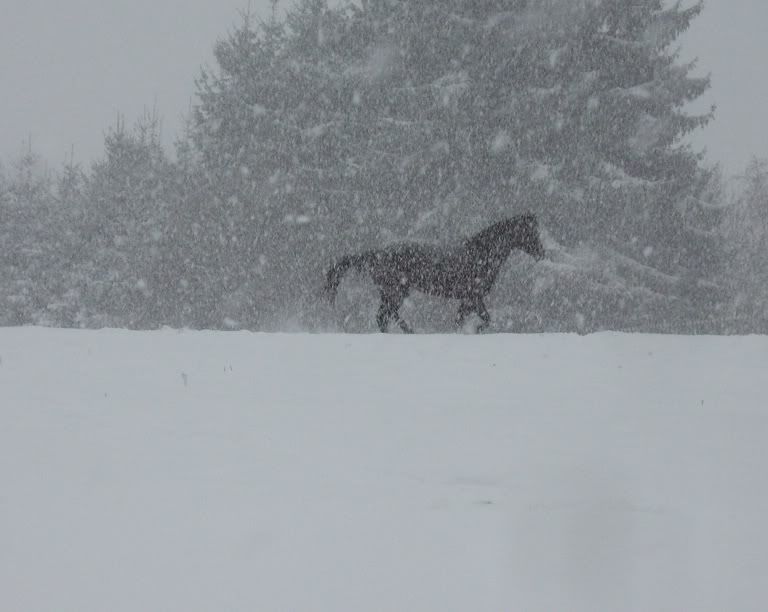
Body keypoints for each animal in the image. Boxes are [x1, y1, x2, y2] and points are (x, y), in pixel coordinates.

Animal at [324, 213, 544, 332]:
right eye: (531, 232)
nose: (542, 253)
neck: (482, 255)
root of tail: (374, 253)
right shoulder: (472, 297)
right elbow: (481, 320)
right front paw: (473, 330)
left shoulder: (471, 299)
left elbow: (465, 320)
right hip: (396, 291)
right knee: (385, 315)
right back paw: (410, 331)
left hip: (391, 292)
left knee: (383, 316)